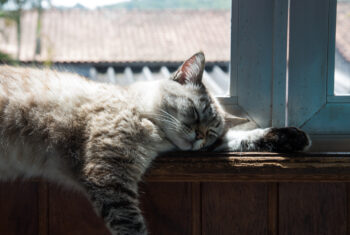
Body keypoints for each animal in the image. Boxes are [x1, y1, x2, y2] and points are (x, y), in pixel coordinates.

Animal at [0, 51, 308, 235]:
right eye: (195, 112)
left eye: (210, 132)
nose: (198, 137)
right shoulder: (109, 174)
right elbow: (132, 226)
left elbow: (243, 137)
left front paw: (292, 137)